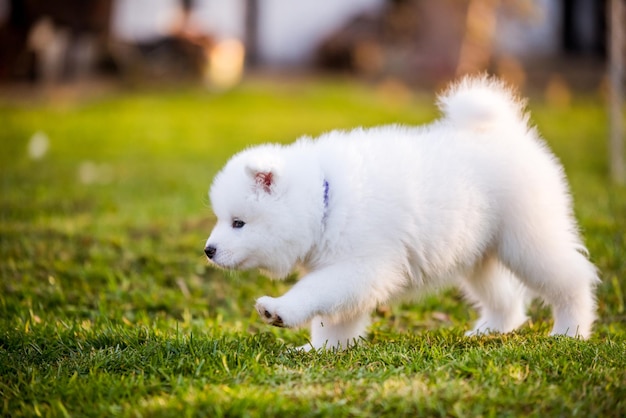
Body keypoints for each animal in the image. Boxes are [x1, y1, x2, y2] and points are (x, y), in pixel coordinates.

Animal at [202, 76, 596, 350]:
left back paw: (571, 331)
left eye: (238, 223)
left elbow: (316, 290)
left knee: (572, 279)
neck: (326, 202)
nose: (208, 250)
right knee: (507, 299)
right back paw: (489, 331)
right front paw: (319, 350)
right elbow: (336, 317)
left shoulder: (362, 265)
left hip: (527, 239)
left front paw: (280, 310)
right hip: (477, 249)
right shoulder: (350, 270)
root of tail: (508, 133)